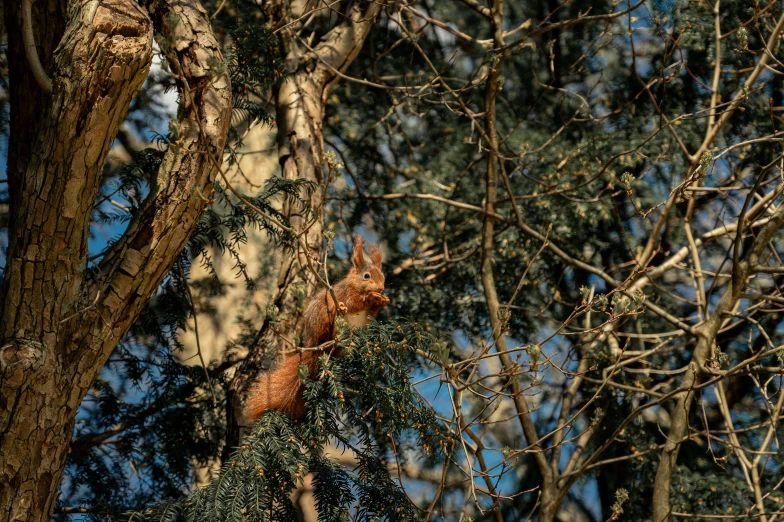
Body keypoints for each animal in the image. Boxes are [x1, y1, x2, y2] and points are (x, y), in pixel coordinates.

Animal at [243, 235, 390, 418]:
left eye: (383, 276)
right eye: (366, 276)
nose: (381, 288)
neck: (356, 287)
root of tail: (315, 346)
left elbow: (371, 314)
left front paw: (382, 301)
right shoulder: (345, 294)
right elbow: (354, 302)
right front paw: (371, 298)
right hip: (321, 313)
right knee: (327, 325)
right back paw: (335, 317)